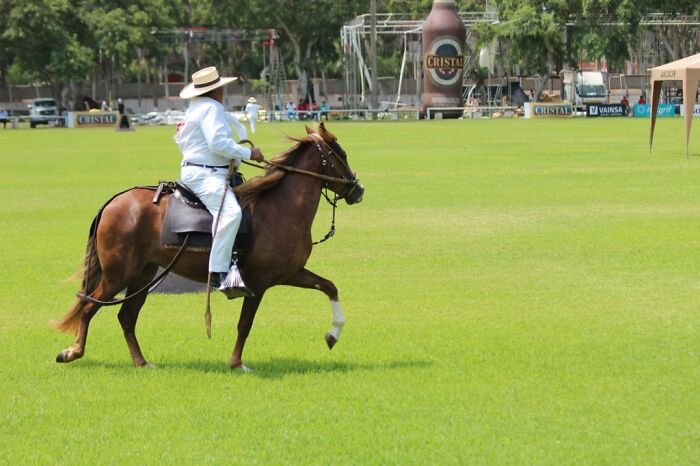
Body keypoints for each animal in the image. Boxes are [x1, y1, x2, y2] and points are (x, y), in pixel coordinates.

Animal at [53, 123, 364, 371]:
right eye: (342, 154)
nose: (358, 190)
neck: (282, 208)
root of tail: (113, 201)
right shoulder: (259, 282)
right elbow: (245, 324)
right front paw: (237, 363)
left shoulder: (290, 273)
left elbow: (329, 287)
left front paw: (332, 335)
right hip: (119, 274)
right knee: (89, 306)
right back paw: (72, 352)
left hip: (144, 273)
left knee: (126, 316)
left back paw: (141, 362)